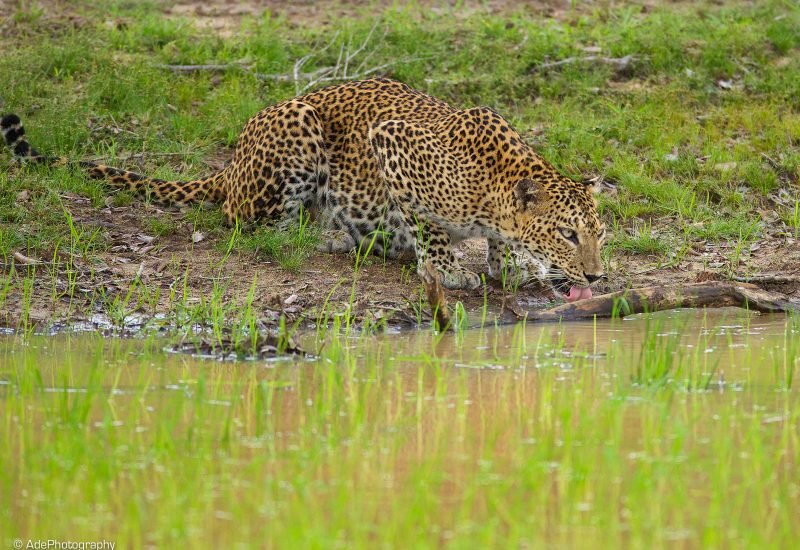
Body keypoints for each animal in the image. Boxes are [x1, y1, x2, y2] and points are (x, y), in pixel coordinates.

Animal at [3, 77, 608, 298]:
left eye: (599, 235)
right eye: (568, 235)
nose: (597, 277)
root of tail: (232, 159)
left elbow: (503, 244)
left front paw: (512, 264)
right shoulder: (391, 141)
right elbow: (424, 222)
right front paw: (445, 266)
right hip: (299, 130)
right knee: (247, 221)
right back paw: (329, 237)